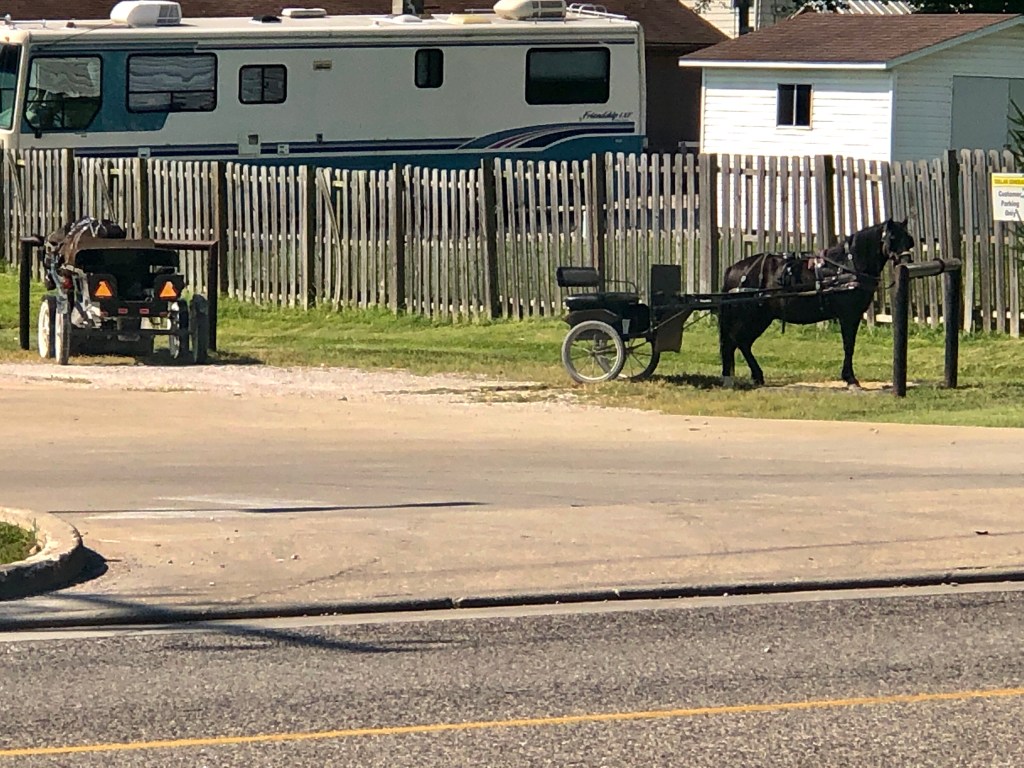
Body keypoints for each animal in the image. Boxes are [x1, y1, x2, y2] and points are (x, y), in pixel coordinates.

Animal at [718, 219, 916, 389]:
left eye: (909, 239)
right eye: (892, 238)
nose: (906, 263)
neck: (847, 266)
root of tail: (733, 269)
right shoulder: (848, 315)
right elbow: (848, 345)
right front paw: (850, 378)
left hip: (760, 318)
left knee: (742, 342)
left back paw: (754, 376)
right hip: (750, 316)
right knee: (734, 341)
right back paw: (732, 378)